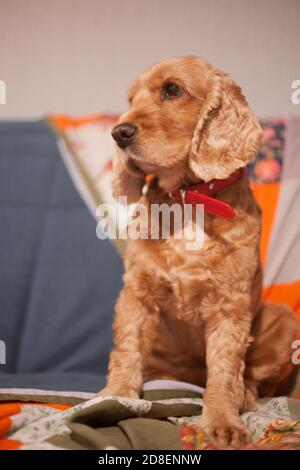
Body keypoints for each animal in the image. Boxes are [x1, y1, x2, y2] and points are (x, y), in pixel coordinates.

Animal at [98, 57, 298, 446]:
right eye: (131, 99)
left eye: (172, 89)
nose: (118, 133)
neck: (187, 198)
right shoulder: (137, 291)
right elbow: (127, 348)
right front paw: (113, 396)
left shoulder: (230, 305)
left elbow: (224, 369)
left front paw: (222, 421)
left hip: (284, 320)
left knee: (250, 378)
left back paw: (244, 397)